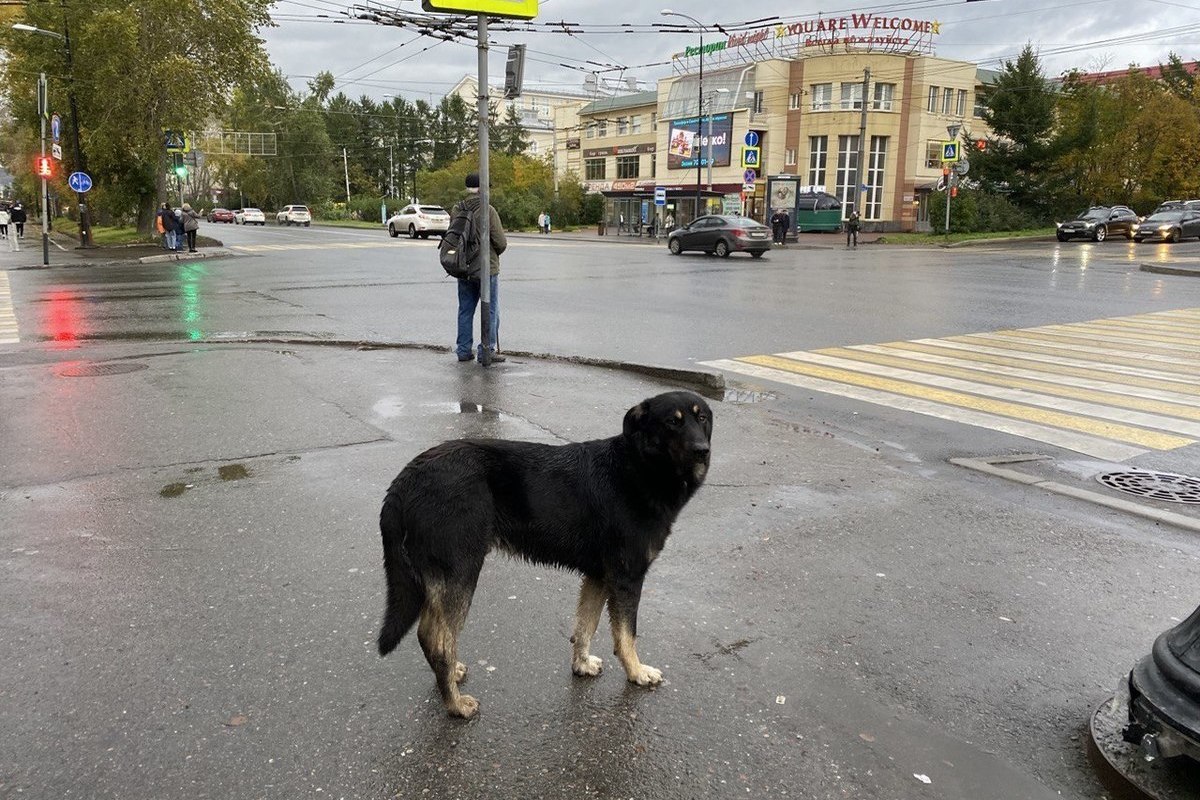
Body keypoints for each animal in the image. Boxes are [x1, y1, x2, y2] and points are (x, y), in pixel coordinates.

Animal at [374, 388, 710, 719]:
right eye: (672, 422)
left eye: (703, 418)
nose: (702, 450)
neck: (638, 466)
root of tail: (406, 478)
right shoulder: (626, 579)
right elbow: (626, 635)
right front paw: (637, 672)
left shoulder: (599, 577)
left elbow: (585, 626)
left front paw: (581, 664)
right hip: (462, 571)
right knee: (438, 639)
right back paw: (455, 704)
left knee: (430, 633)